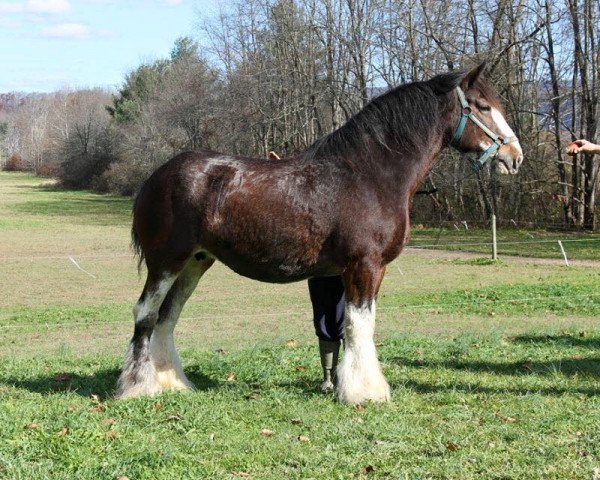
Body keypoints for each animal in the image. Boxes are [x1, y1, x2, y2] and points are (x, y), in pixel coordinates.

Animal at [116, 62, 520, 404]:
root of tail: (156, 177)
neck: (369, 175)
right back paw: (138, 387)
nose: (515, 157)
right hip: (167, 262)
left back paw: (173, 383)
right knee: (146, 314)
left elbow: (356, 327)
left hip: (196, 263)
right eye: (483, 106)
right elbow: (360, 327)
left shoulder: (368, 270)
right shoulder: (363, 266)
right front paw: (365, 392)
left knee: (167, 317)